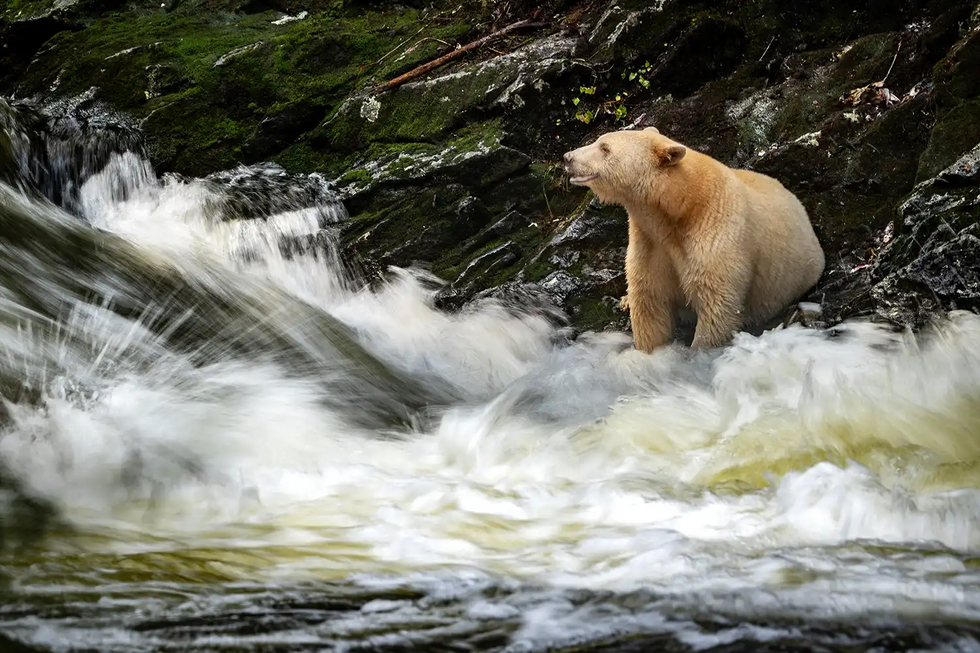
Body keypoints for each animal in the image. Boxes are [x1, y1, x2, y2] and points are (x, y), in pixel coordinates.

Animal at [562, 126, 825, 352]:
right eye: (600, 141)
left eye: (605, 148)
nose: (567, 157)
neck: (679, 207)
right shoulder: (650, 242)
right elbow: (649, 302)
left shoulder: (715, 238)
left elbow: (717, 305)